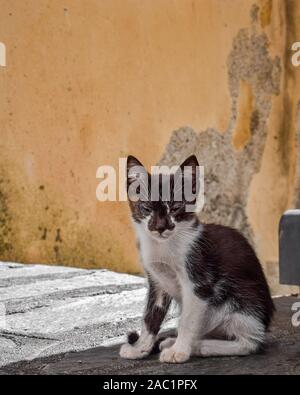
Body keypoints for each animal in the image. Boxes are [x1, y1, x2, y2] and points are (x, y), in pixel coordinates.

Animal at [119, 155, 274, 366]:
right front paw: (140, 349)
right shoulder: (157, 282)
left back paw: (200, 346)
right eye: (147, 208)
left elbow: (187, 321)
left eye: (175, 208)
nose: (160, 227)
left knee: (250, 343)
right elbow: (150, 318)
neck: (163, 246)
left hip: (241, 303)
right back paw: (175, 341)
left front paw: (179, 352)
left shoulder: (199, 281)